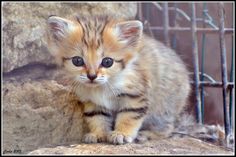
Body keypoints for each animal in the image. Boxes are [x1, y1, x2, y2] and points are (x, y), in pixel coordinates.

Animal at [45, 14, 190, 144]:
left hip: (163, 109)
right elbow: (97, 118)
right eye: (77, 61)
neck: (103, 87)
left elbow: (128, 117)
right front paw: (98, 134)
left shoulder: (135, 97)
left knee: (167, 127)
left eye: (107, 62)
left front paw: (122, 133)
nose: (92, 76)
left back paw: (147, 134)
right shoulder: (93, 102)